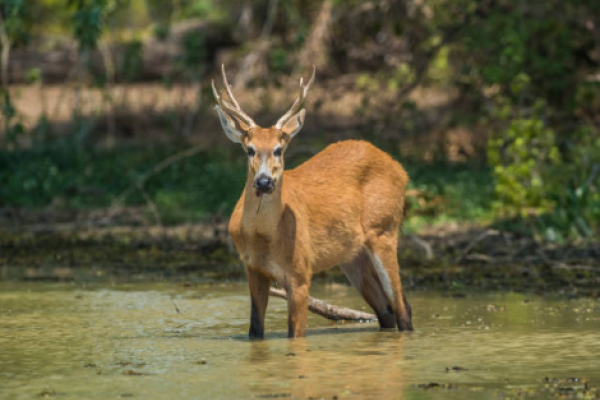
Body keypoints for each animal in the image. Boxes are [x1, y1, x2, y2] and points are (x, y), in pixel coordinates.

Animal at [212, 66, 412, 338]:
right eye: (249, 150)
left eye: (279, 150)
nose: (264, 182)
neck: (263, 238)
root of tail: (401, 170)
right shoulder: (252, 269)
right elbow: (255, 330)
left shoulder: (300, 271)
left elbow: (294, 334)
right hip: (352, 255)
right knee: (387, 311)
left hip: (384, 230)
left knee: (402, 307)